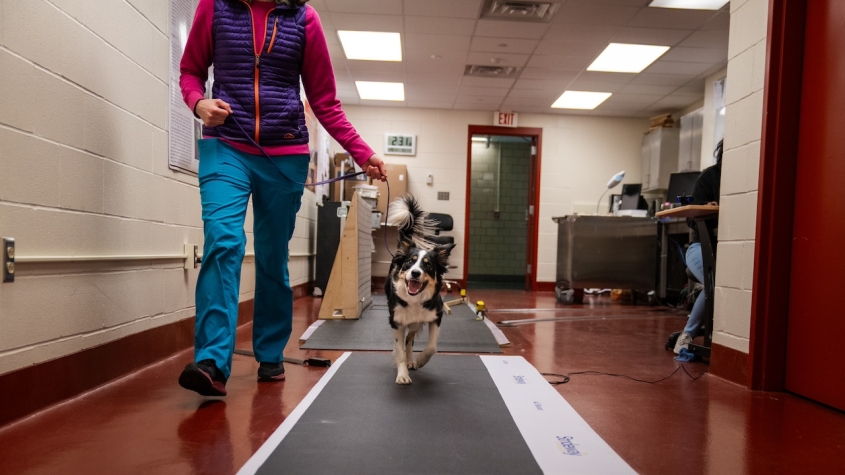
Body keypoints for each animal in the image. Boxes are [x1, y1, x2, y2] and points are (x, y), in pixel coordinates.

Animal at [388, 195, 458, 384]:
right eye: (409, 262)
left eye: (428, 266)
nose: (415, 273)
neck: (415, 299)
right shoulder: (397, 321)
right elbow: (399, 349)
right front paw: (402, 374)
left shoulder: (436, 316)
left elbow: (432, 347)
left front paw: (419, 361)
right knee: (404, 342)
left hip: (415, 324)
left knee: (410, 340)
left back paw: (412, 360)